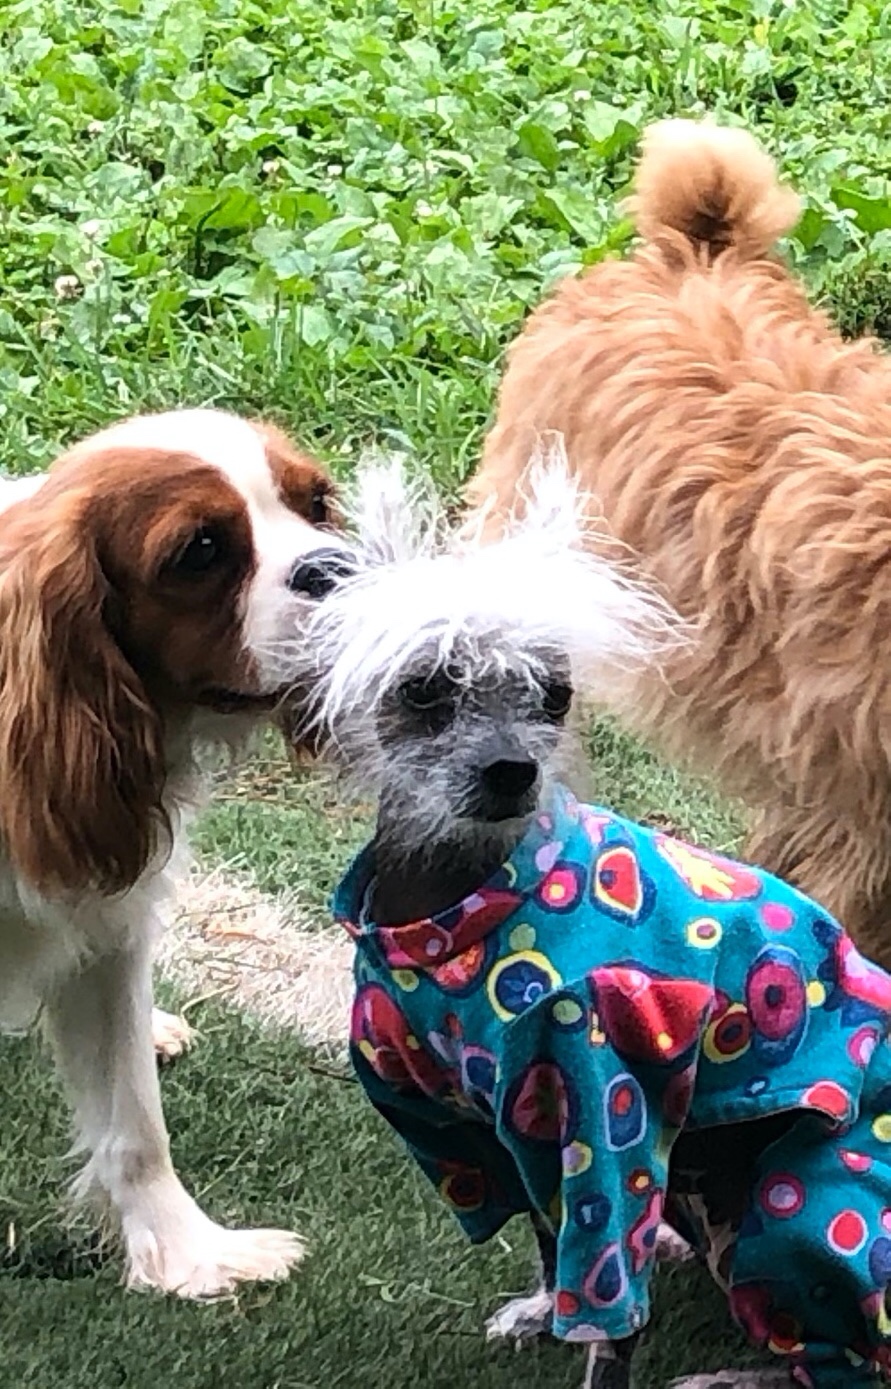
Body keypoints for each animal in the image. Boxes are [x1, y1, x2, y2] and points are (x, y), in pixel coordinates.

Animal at [0, 406, 352, 1298]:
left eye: (318, 505)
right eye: (199, 550)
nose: (333, 566)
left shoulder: (109, 927)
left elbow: (135, 1122)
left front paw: (187, 1253)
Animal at [296, 456, 891, 1388]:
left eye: (554, 694)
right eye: (426, 689)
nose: (512, 770)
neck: (457, 917)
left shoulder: (605, 1118)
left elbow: (608, 1304)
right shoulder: (496, 1129)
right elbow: (550, 1239)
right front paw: (544, 1310)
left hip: (801, 1194)